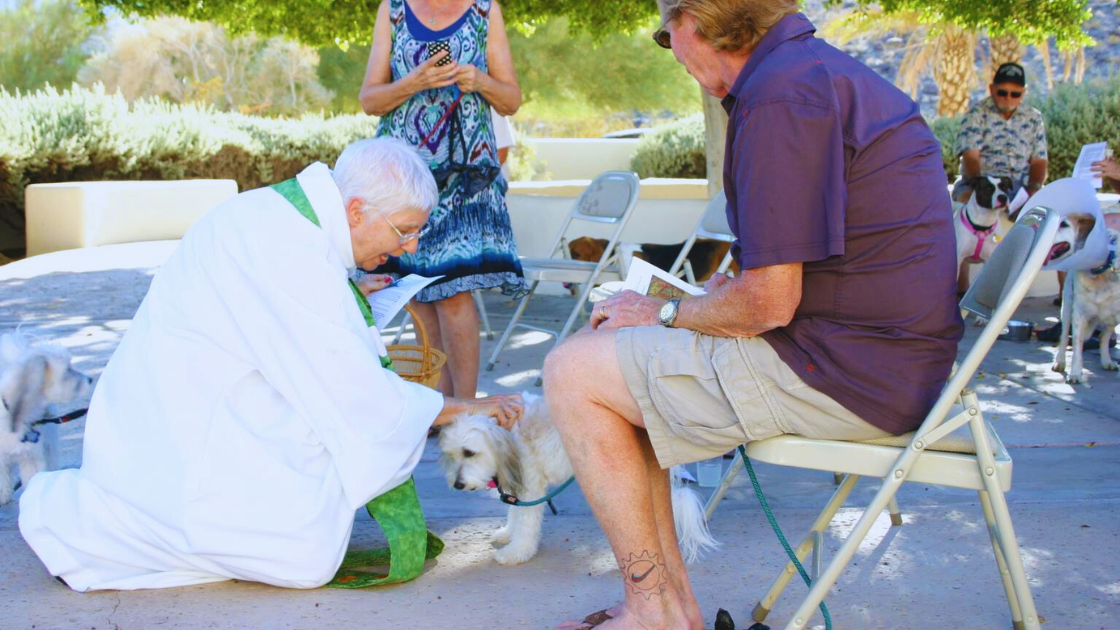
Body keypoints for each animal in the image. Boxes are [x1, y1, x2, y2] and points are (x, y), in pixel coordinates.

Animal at [436, 392, 716, 564]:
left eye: (469, 452)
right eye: (451, 454)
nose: (458, 484)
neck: (509, 433)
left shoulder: (531, 484)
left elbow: (526, 522)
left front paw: (516, 552)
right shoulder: (518, 483)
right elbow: (515, 513)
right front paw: (507, 534)